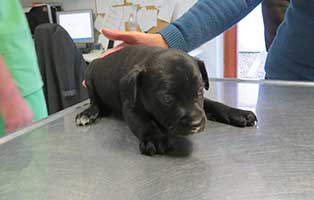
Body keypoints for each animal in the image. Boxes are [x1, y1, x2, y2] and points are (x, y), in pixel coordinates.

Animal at [75, 45, 255, 156]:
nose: (196, 124)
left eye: (200, 91)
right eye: (166, 99)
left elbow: (214, 104)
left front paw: (238, 113)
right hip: (89, 79)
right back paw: (88, 113)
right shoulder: (130, 107)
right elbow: (142, 121)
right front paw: (155, 138)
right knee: (95, 102)